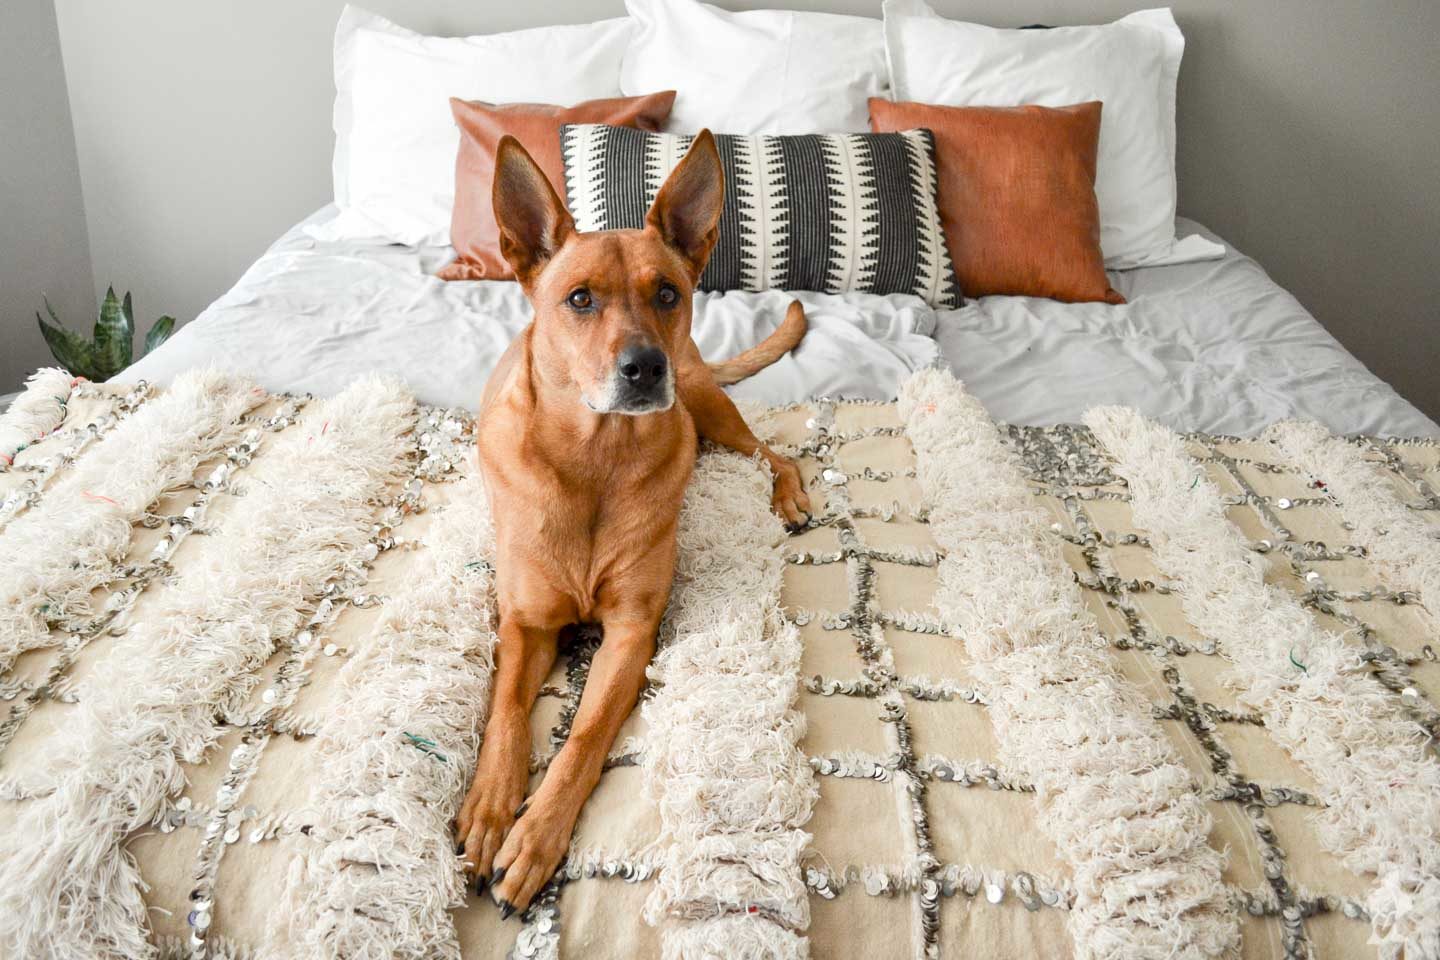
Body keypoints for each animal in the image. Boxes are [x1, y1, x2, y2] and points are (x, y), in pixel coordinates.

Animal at [455, 129, 812, 915]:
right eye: (579, 299)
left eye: (667, 293)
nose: (647, 368)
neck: (597, 462)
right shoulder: (525, 622)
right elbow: (504, 714)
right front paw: (492, 807)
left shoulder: (630, 631)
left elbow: (584, 737)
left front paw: (536, 834)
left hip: (711, 411)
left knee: (773, 453)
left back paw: (791, 495)